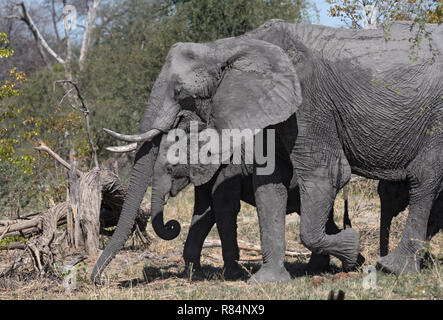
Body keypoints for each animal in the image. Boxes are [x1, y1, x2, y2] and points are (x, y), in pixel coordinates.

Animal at [91, 20, 443, 284]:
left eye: (179, 91)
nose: (97, 279)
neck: (229, 46)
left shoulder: (308, 102)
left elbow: (325, 174)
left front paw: (353, 247)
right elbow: (267, 183)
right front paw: (267, 281)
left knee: (423, 178)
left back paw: (392, 267)